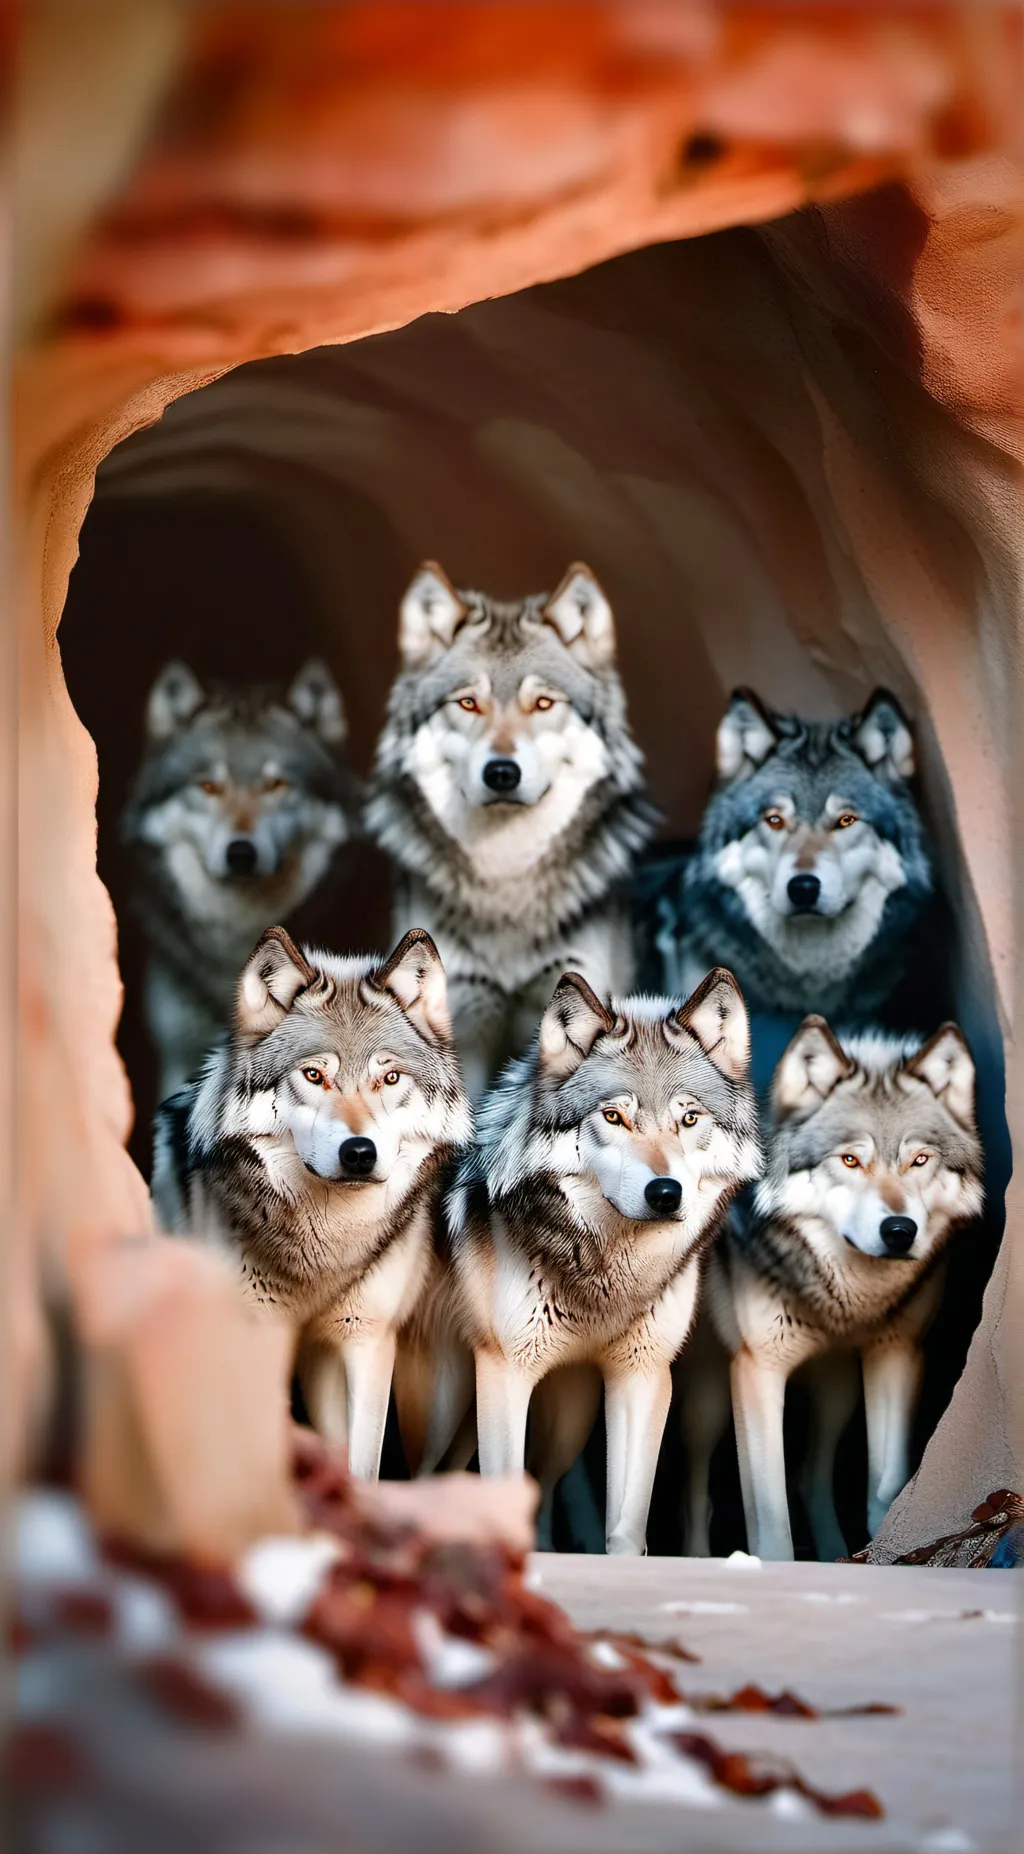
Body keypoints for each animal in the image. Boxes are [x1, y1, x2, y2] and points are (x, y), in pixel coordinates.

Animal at [151, 925, 472, 1479]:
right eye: (314, 1076)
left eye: (390, 1078)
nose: (359, 1153)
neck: (322, 1249)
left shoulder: (364, 1339)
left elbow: (360, 1466)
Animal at [446, 967, 761, 1554]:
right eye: (614, 1116)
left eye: (689, 1118)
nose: (665, 1193)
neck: (605, 1279)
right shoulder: (504, 1372)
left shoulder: (644, 1375)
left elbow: (628, 1526)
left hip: (589, 1420)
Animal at [681, 1015, 983, 1561]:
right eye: (849, 1161)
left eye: (920, 1160)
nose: (900, 1230)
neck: (848, 1300)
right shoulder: (758, 1371)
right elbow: (771, 1524)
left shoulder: (898, 1354)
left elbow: (885, 1490)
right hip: (706, 1402)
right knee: (696, 1497)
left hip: (836, 1392)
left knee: (809, 1479)